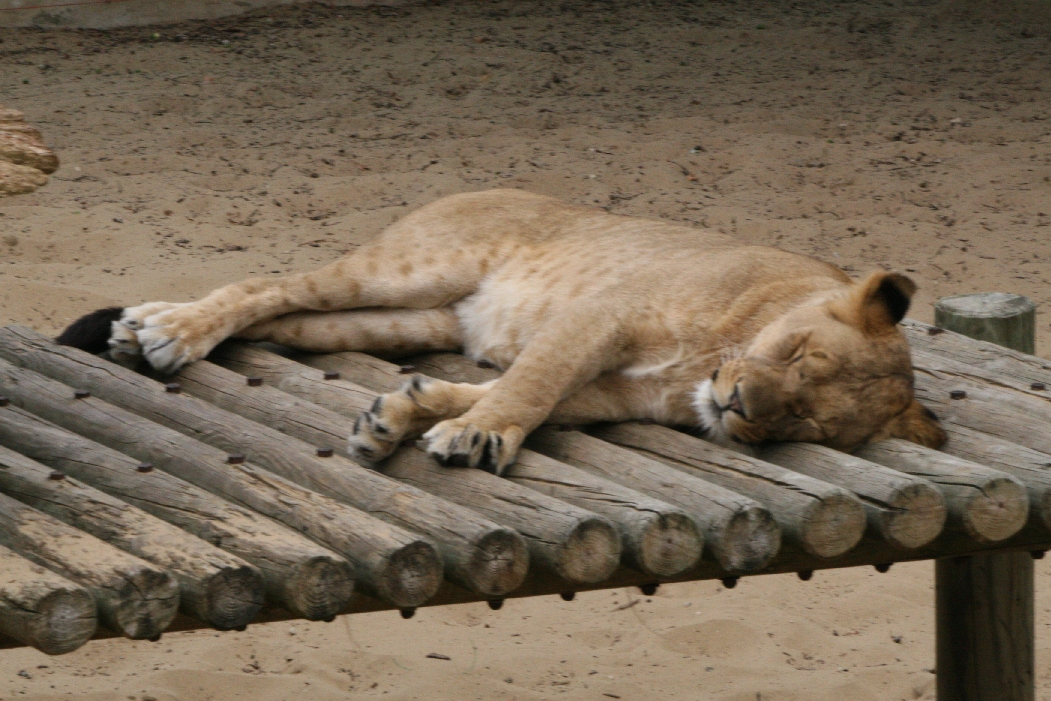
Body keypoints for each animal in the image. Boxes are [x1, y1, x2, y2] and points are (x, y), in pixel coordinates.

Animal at [57, 189, 947, 474]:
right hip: (407, 268)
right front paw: (474, 436)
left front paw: (402, 414)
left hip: (401, 317)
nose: (734, 408)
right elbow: (530, 384)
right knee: (265, 285)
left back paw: (147, 328)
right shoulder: (601, 315)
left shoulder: (626, 392)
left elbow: (513, 391)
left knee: (288, 319)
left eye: (802, 419)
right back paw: (165, 331)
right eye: (797, 352)